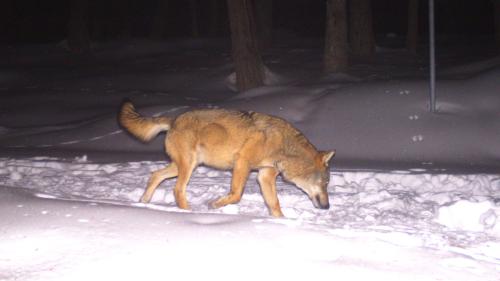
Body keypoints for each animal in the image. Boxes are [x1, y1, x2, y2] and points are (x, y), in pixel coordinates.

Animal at [118, 101, 334, 217]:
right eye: (325, 183)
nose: (328, 207)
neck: (283, 146)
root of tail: (174, 119)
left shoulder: (264, 176)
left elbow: (274, 203)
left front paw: (282, 221)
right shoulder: (242, 163)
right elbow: (236, 194)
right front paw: (214, 205)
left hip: (182, 166)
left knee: (155, 175)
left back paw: (143, 202)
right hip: (188, 166)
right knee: (177, 189)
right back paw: (189, 213)